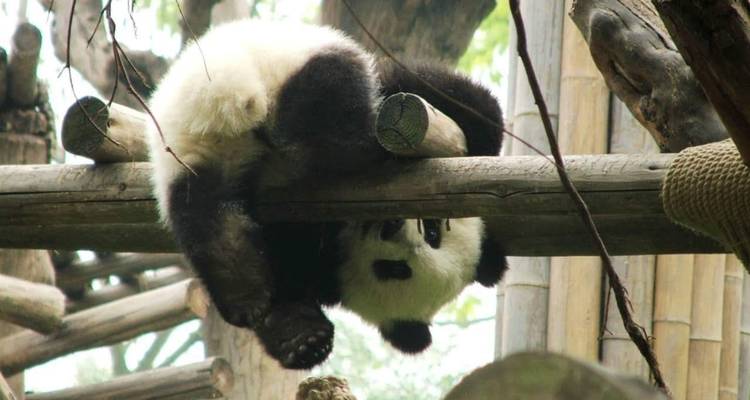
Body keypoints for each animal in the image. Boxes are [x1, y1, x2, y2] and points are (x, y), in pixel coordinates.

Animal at [147, 19, 507, 370]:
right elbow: (456, 98)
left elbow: (286, 274)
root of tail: (223, 94)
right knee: (335, 121)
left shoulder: (312, 255)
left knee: (208, 221)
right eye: (432, 231)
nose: (392, 226)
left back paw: (242, 292)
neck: (345, 237)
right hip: (298, 65)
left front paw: (300, 339)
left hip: (192, 161)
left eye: (396, 269)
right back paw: (371, 147)